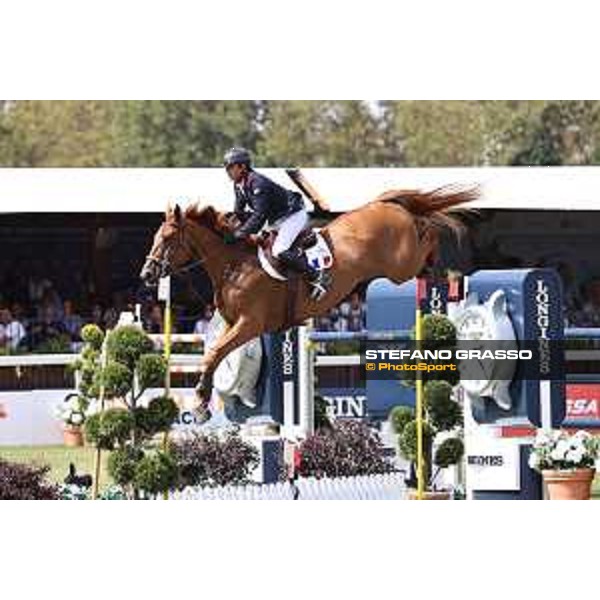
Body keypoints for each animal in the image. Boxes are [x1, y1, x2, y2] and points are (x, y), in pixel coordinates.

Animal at [141, 185, 478, 420]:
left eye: (168, 239)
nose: (147, 274)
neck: (234, 266)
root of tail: (383, 204)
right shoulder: (232, 323)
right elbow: (213, 354)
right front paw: (203, 402)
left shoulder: (250, 324)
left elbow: (214, 353)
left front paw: (200, 403)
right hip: (401, 267)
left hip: (401, 266)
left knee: (429, 234)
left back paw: (448, 272)